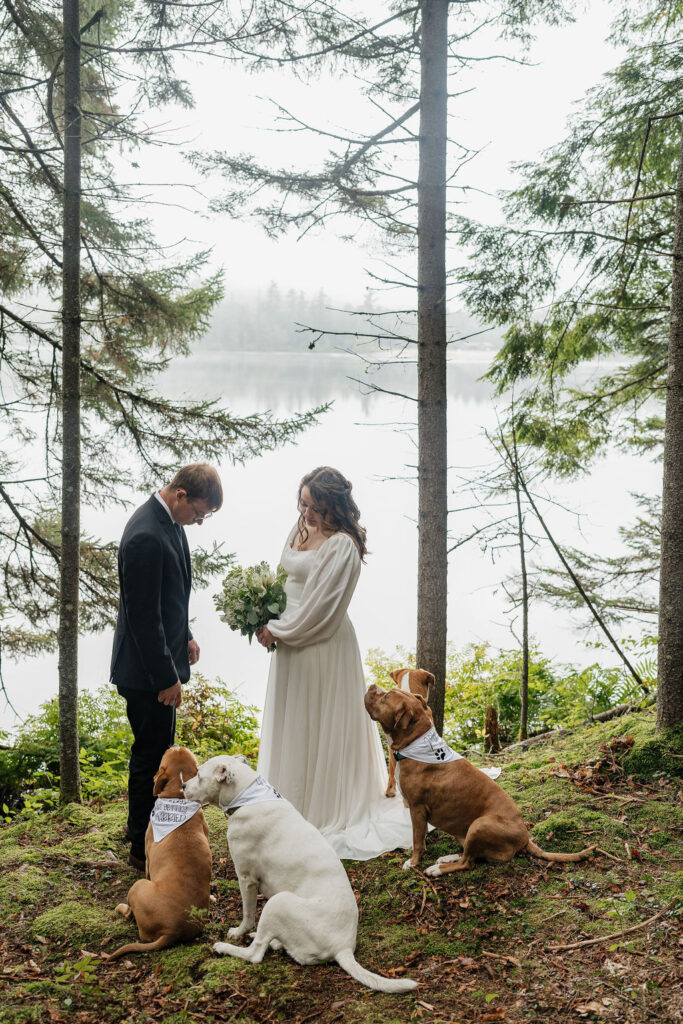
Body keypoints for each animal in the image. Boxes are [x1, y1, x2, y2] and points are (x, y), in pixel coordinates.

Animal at [107, 745, 211, 958]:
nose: (174, 745)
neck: (178, 797)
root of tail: (173, 930)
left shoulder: (147, 856)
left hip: (138, 886)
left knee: (131, 916)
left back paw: (121, 907)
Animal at [181, 753, 417, 991]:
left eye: (199, 774)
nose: (182, 786)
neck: (247, 796)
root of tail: (343, 948)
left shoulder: (246, 879)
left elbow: (247, 915)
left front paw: (238, 932)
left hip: (278, 901)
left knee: (255, 953)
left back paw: (225, 947)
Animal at [362, 684, 593, 876]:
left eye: (387, 696)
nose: (372, 685)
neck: (416, 742)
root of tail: (525, 837)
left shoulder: (417, 808)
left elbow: (418, 840)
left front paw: (413, 862)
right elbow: (420, 837)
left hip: (479, 824)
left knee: (469, 862)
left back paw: (439, 869)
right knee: (469, 853)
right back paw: (447, 858)